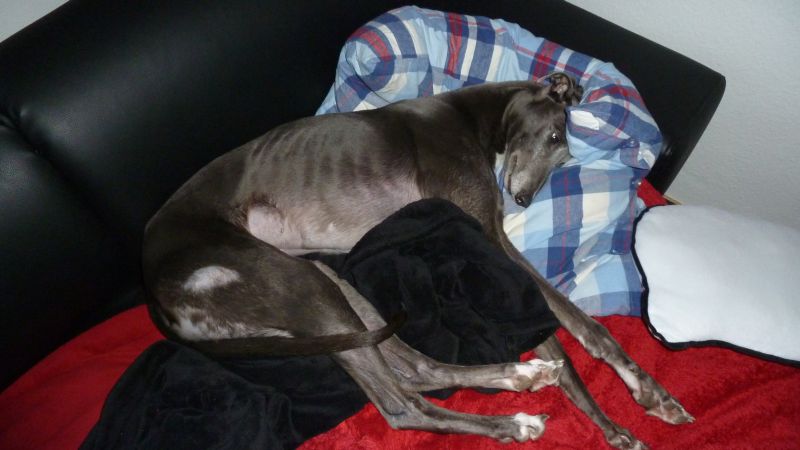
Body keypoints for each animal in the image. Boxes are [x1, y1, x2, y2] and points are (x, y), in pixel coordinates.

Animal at [143, 73, 693, 449]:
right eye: (555, 137)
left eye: (563, 160)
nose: (523, 199)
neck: (473, 117)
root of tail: (155, 288)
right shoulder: (487, 233)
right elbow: (577, 323)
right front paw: (642, 390)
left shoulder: (489, 239)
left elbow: (553, 339)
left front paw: (619, 422)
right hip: (296, 285)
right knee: (401, 404)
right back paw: (514, 419)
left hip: (324, 287)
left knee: (416, 370)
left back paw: (519, 377)